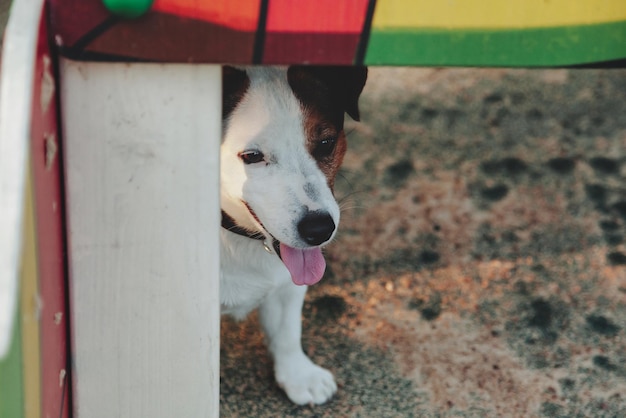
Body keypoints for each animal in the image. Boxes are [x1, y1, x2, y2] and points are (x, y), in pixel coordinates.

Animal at [219, 66, 366, 404]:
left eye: (326, 142)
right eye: (251, 156)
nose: (319, 230)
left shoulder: (287, 285)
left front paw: (298, 376)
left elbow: (287, 331)